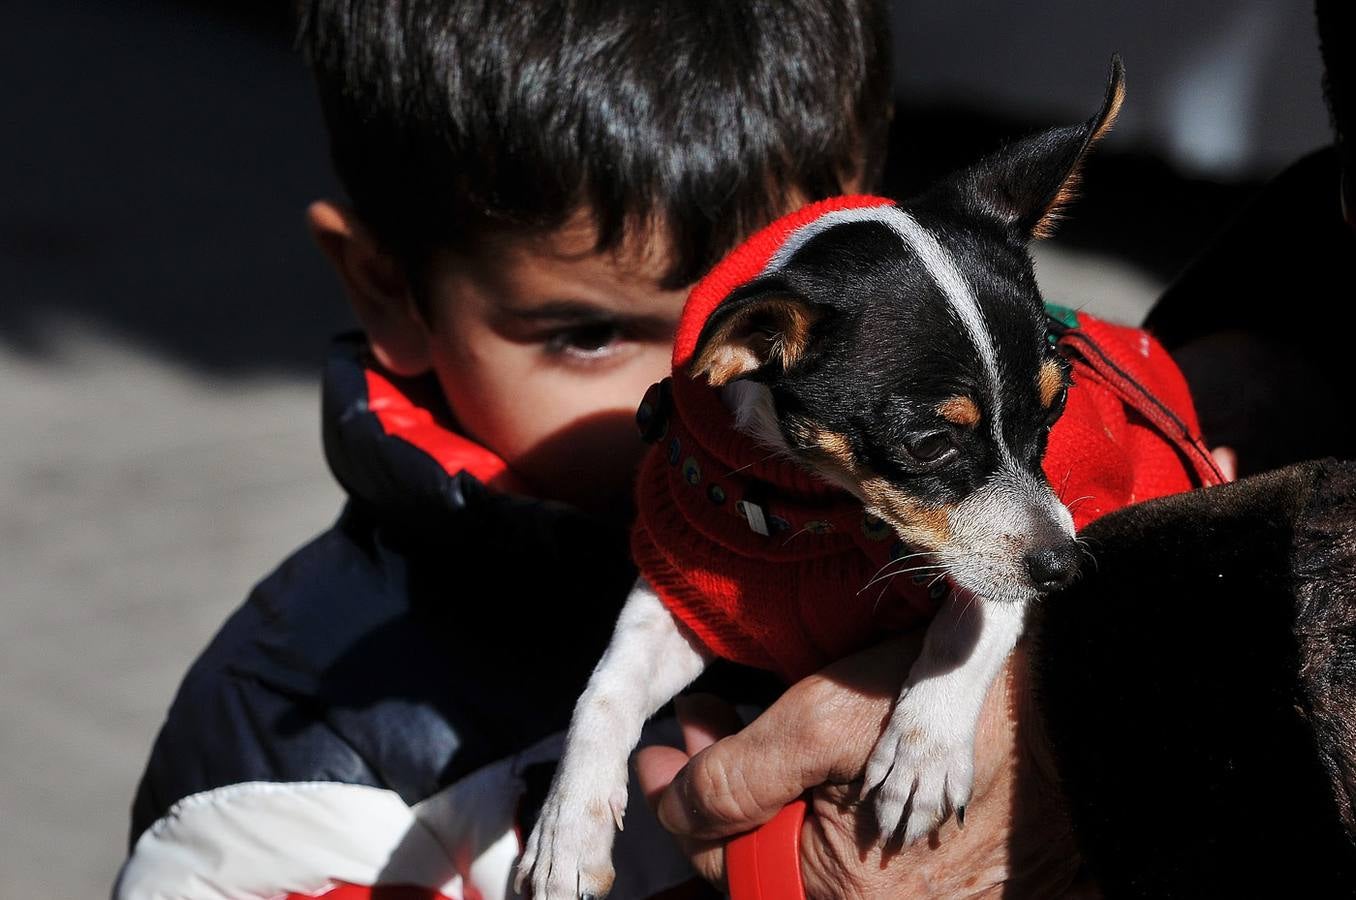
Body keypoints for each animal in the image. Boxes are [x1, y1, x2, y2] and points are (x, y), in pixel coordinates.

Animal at [523, 59, 1128, 894]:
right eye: (930, 445)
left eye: (1057, 411)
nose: (1065, 567)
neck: (812, 509)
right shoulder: (680, 601)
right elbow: (604, 692)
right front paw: (567, 830)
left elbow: (978, 609)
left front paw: (925, 743)